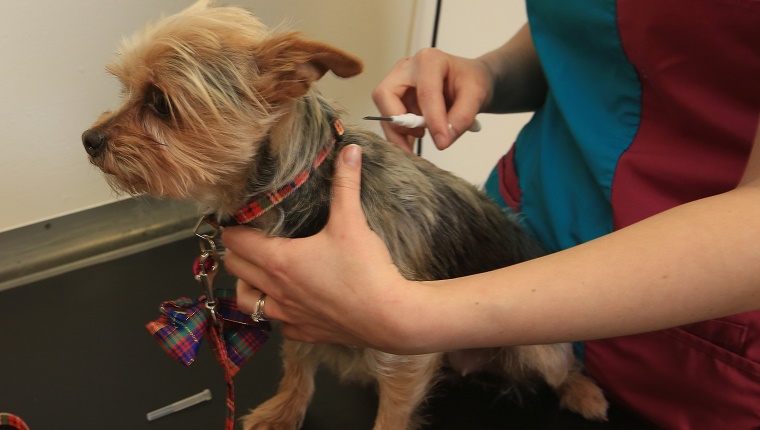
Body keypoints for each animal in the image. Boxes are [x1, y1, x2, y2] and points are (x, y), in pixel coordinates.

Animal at [83, 1, 608, 428]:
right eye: (127, 90)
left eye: (160, 103)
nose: (89, 140)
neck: (296, 185)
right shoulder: (294, 304)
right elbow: (298, 368)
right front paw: (283, 412)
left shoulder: (402, 356)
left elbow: (391, 416)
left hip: (540, 346)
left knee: (564, 363)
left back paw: (584, 393)